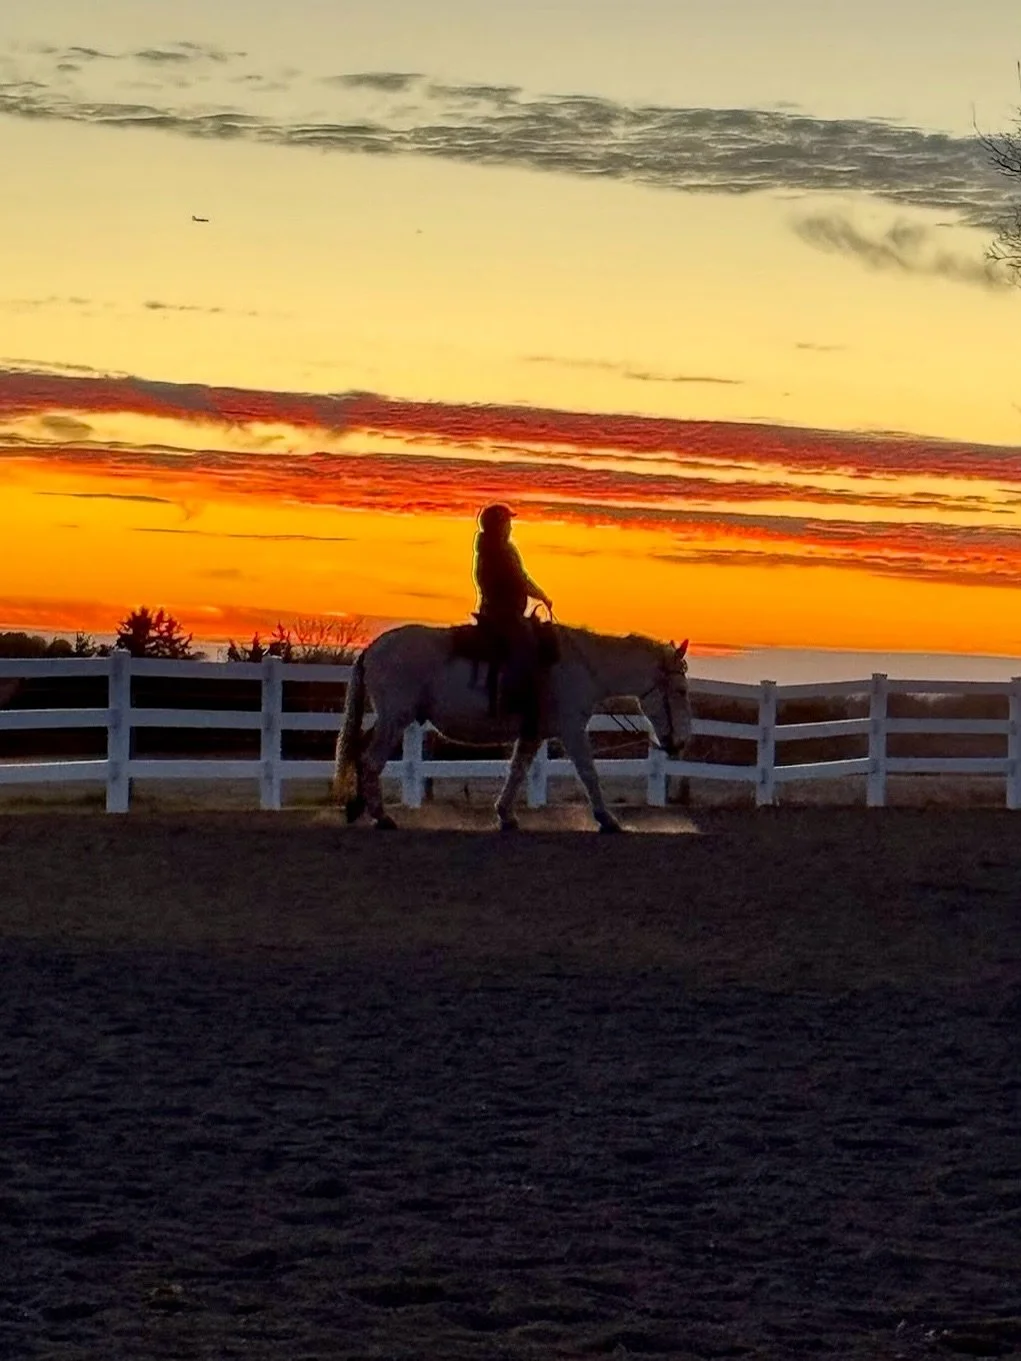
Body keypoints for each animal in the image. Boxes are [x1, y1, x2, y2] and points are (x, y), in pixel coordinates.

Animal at [334, 623, 691, 832]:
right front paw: (607, 819)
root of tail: (371, 650)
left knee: (360, 753)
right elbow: (589, 773)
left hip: (388, 720)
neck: (580, 667)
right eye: (680, 691)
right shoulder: (572, 730)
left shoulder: (533, 734)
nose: (680, 742)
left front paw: (505, 814)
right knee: (371, 761)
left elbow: (517, 772)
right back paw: (381, 816)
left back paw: (358, 807)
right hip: (395, 720)